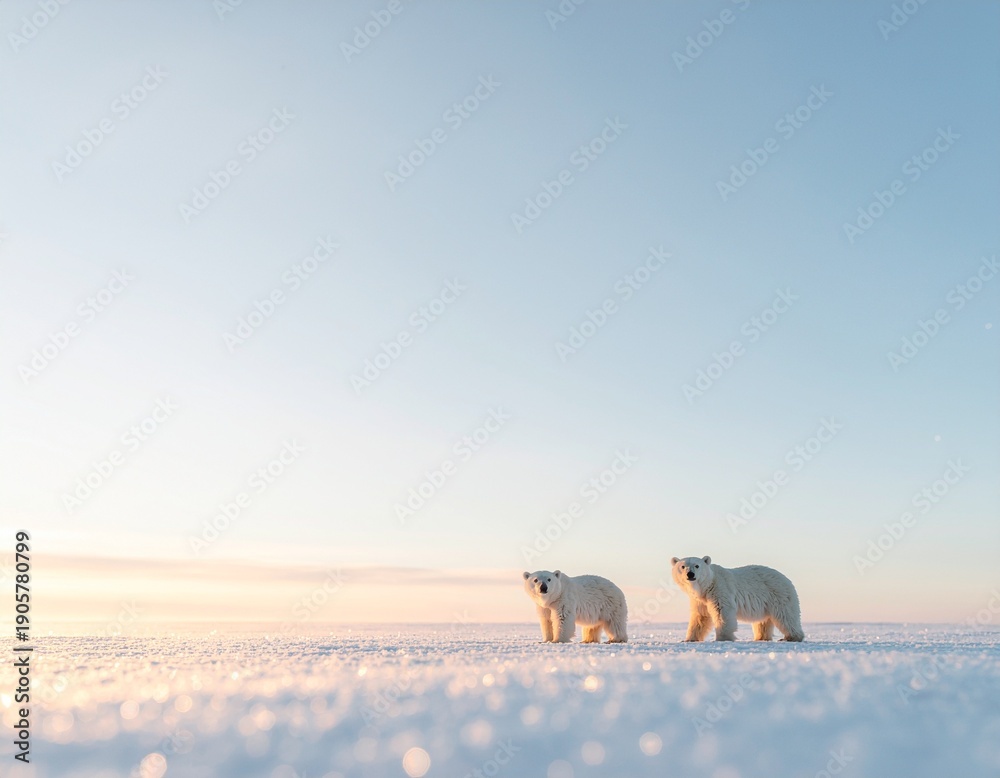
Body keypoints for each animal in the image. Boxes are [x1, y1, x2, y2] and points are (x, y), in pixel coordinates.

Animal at [671, 556, 804, 642]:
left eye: (697, 565)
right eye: (683, 566)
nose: (690, 574)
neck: (706, 586)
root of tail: (787, 579)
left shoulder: (720, 589)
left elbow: (722, 611)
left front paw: (723, 638)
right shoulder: (700, 600)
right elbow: (700, 617)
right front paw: (689, 639)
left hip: (778, 594)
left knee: (786, 616)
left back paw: (791, 637)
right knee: (762, 621)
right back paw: (761, 637)